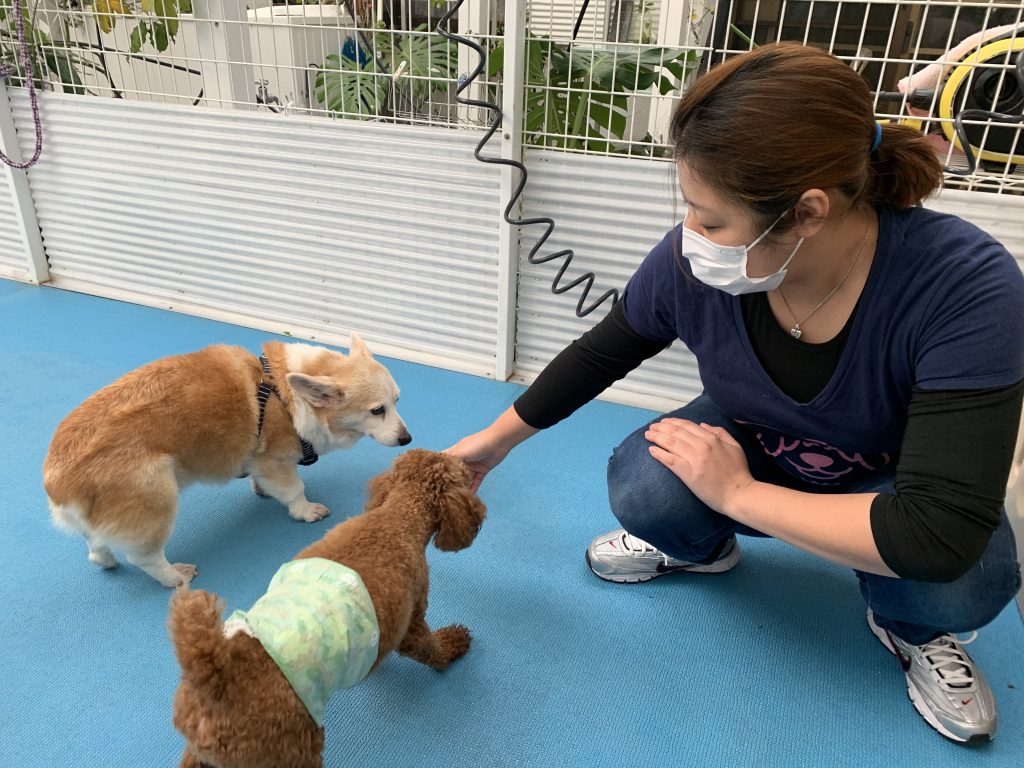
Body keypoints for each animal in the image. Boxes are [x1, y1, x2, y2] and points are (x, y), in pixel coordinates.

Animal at [43, 335, 411, 589]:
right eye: (377, 410)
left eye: (397, 401)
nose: (407, 439)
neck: (287, 396)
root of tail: (56, 481)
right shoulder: (275, 461)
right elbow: (295, 489)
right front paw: (306, 511)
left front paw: (262, 491)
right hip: (157, 499)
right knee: (144, 556)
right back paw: (174, 576)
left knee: (96, 546)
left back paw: (106, 560)